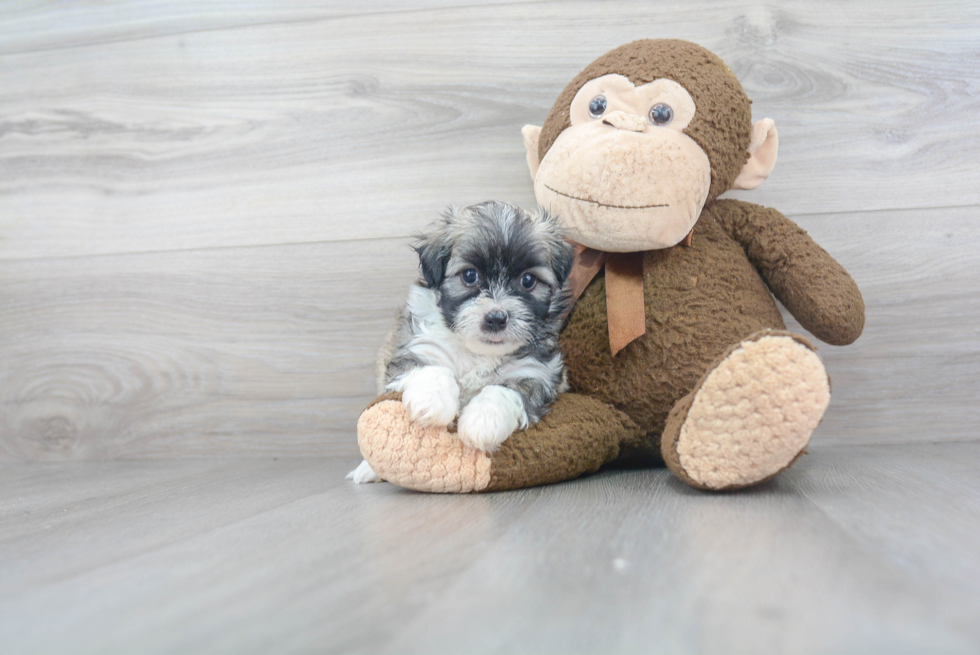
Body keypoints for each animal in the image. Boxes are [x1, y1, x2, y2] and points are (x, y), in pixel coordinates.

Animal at [348, 200, 576, 482]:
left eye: (528, 280)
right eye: (469, 276)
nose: (496, 318)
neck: (477, 352)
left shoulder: (536, 372)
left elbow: (502, 391)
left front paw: (482, 421)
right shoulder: (417, 346)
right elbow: (433, 368)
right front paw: (431, 401)